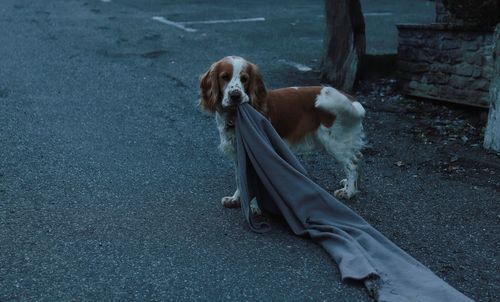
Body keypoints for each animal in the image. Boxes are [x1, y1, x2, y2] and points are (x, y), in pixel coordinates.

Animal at [199, 56, 368, 210]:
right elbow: (241, 178)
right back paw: (352, 187)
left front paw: (255, 207)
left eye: (244, 79)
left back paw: (349, 192)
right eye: (224, 77)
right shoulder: (238, 154)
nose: (235, 95)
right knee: (359, 157)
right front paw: (235, 199)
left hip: (336, 142)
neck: (234, 117)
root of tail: (351, 100)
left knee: (352, 164)